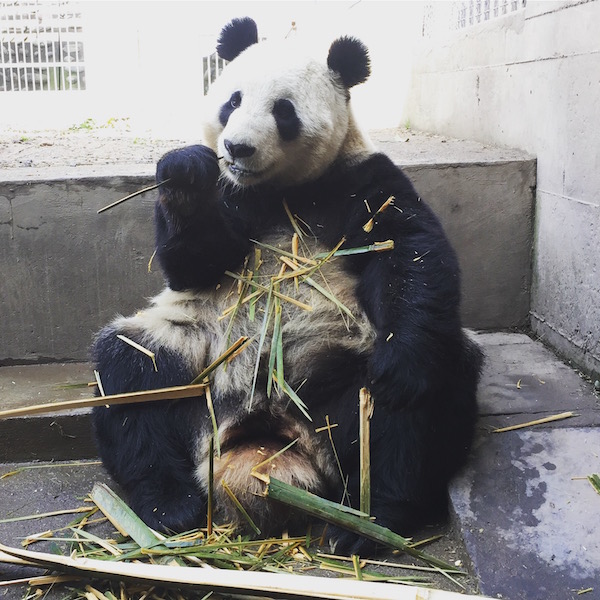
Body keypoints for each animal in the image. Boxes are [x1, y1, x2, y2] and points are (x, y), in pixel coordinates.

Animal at [91, 17, 482, 552]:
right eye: (232, 100)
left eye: (284, 111)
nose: (237, 148)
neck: (275, 191)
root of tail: (266, 433)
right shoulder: (231, 198)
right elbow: (192, 265)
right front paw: (185, 172)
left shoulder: (358, 179)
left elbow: (407, 248)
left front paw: (400, 365)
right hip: (195, 359)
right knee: (133, 375)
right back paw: (170, 505)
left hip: (339, 375)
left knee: (414, 409)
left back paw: (372, 521)